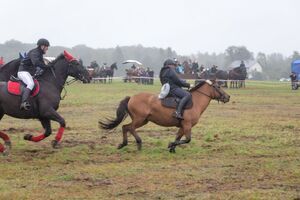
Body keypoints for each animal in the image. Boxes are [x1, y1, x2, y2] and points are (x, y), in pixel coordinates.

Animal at [99, 79, 231, 152]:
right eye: (218, 87)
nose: (228, 97)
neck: (195, 101)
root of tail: (131, 98)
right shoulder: (187, 125)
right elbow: (187, 139)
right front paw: (170, 145)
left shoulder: (183, 126)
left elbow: (178, 138)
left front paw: (172, 149)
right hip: (139, 119)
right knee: (129, 128)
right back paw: (138, 143)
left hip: (143, 120)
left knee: (125, 127)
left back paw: (124, 144)